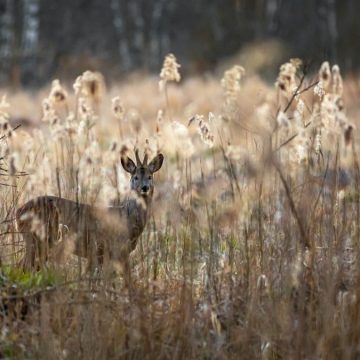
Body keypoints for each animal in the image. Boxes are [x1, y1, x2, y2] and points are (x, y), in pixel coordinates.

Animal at [15, 150, 165, 272]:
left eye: (150, 176)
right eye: (135, 177)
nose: (145, 187)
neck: (126, 219)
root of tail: (18, 212)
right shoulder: (103, 248)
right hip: (38, 238)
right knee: (23, 266)